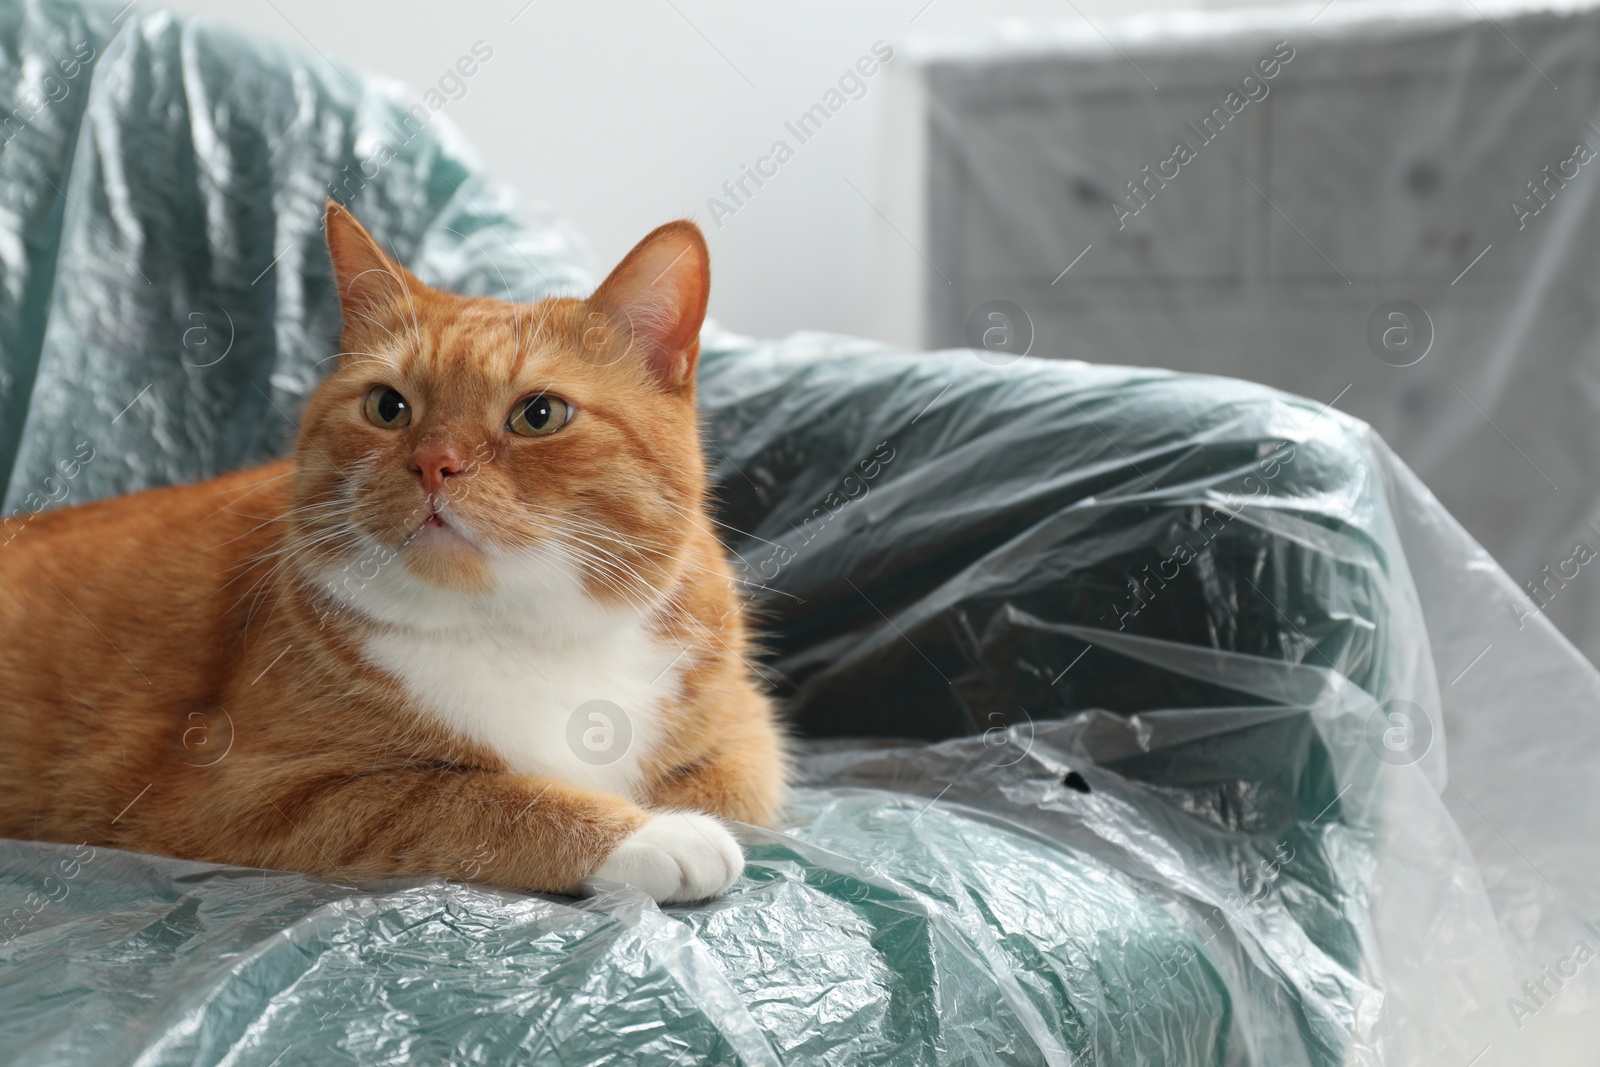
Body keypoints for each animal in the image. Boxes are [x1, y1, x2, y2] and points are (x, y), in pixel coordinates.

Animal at [0, 199, 787, 902]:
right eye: (388, 407)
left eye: (540, 415)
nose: (435, 462)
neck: (518, 629)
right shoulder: (261, 793)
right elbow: (476, 798)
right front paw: (651, 833)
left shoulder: (747, 732)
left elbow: (731, 788)